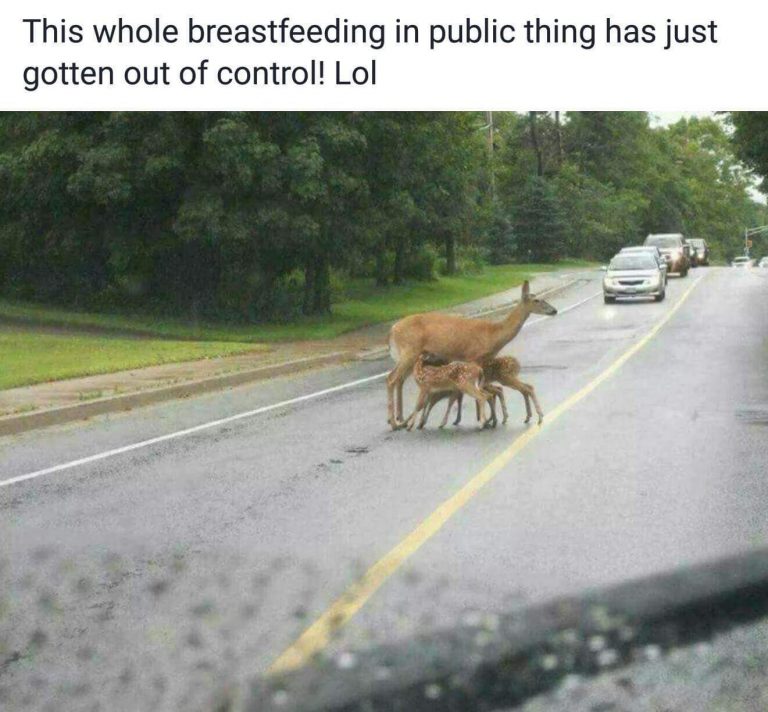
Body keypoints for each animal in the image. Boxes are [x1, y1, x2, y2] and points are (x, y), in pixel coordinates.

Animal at [387, 280, 557, 429]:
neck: (493, 334)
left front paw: (485, 419)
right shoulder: (474, 356)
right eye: (536, 300)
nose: (554, 310)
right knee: (392, 379)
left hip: (413, 355)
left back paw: (400, 419)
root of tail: (393, 329)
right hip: (409, 351)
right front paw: (484, 420)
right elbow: (477, 390)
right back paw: (394, 422)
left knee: (399, 380)